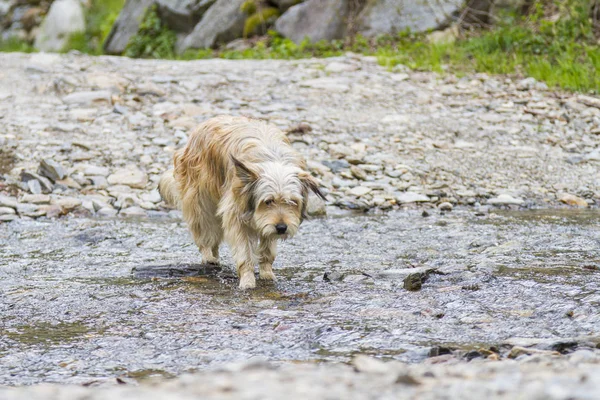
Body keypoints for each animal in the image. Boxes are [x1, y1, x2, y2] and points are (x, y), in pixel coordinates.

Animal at [156, 115, 324, 288]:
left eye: (292, 202)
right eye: (268, 201)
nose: (282, 228)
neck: (272, 159)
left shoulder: (267, 223)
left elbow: (267, 249)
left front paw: (267, 274)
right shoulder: (238, 213)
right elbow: (245, 251)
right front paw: (248, 280)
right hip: (199, 200)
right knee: (205, 230)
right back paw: (208, 256)